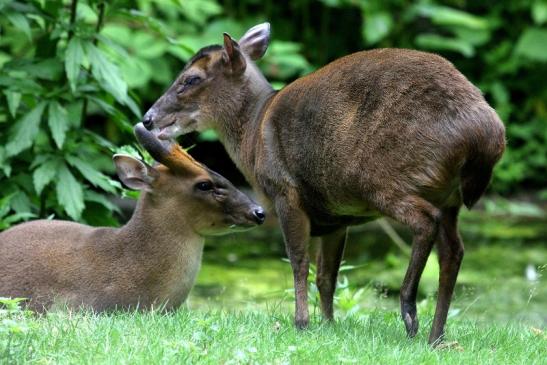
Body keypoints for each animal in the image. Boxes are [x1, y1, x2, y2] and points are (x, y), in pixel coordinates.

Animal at [140, 23, 506, 344]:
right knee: (454, 251)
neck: (253, 134)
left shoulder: (285, 192)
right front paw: (329, 325)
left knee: (425, 222)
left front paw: (301, 323)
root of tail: (485, 132)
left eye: (190, 79)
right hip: (449, 197)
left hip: (383, 179)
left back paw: (409, 313)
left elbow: (298, 262)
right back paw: (436, 336)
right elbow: (327, 275)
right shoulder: (336, 218)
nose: (148, 118)